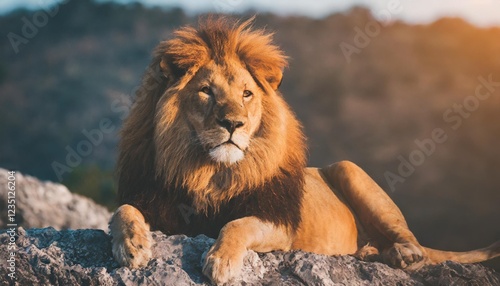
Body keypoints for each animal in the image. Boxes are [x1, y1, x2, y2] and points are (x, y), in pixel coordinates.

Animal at [110, 17, 500, 284]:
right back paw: (373, 251)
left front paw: (221, 261)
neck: (210, 172)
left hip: (348, 168)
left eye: (247, 94)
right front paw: (132, 246)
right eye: (206, 90)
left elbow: (237, 225)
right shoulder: (156, 203)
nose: (233, 124)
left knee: (414, 242)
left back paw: (401, 255)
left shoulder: (278, 223)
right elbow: (121, 212)